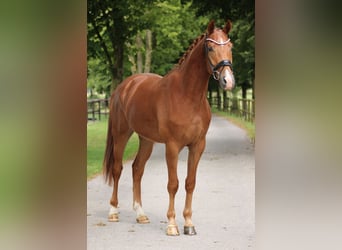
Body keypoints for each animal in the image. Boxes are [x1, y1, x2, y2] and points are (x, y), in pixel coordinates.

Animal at [103, 20, 234, 236]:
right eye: (210, 47)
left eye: (230, 47)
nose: (227, 81)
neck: (187, 95)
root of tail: (124, 86)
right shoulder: (172, 146)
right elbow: (173, 184)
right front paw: (172, 224)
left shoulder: (198, 145)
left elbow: (190, 183)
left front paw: (189, 223)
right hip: (121, 134)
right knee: (117, 168)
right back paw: (113, 211)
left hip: (146, 140)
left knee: (137, 169)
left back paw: (141, 214)